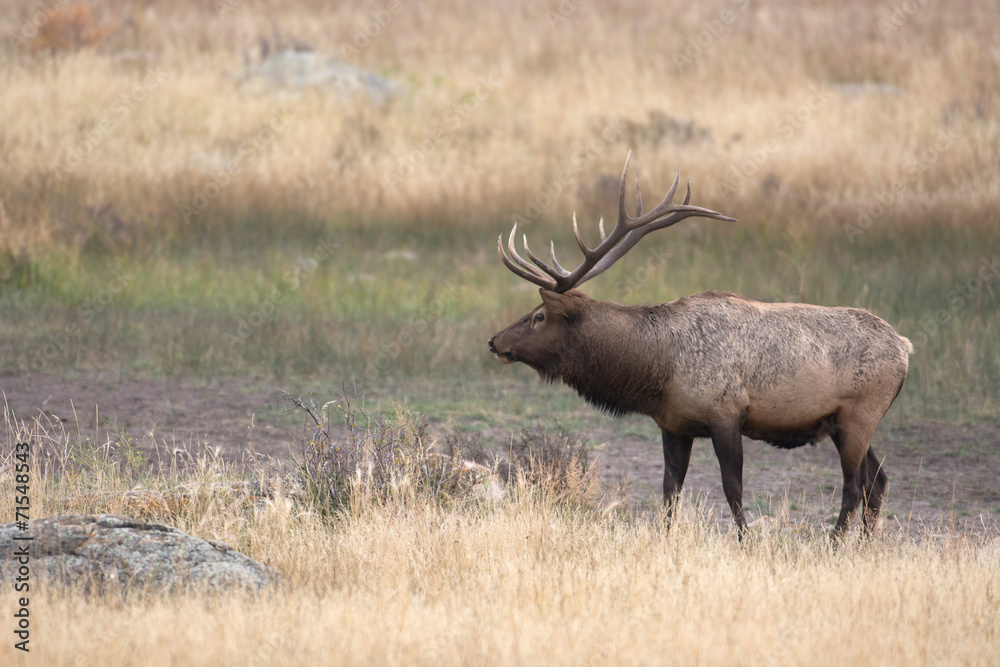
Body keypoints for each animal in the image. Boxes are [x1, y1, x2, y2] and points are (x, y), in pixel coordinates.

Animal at [488, 154, 912, 540]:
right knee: (878, 480)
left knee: (854, 486)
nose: (494, 341)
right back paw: (863, 545)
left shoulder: (726, 413)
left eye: (539, 315)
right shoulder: (673, 424)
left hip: (860, 415)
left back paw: (835, 544)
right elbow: (670, 489)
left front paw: (745, 541)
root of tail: (905, 347)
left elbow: (732, 488)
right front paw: (665, 538)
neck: (659, 369)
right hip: (844, 422)